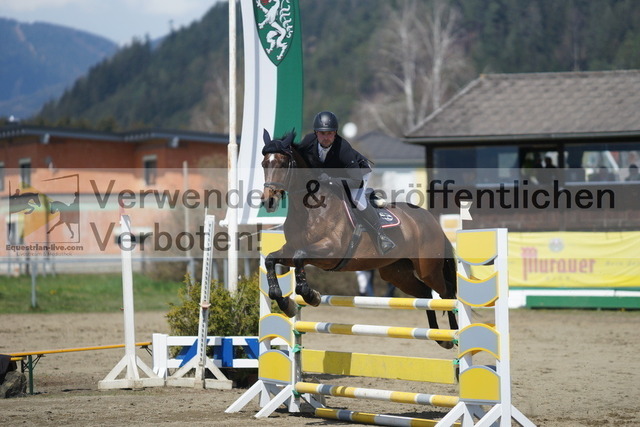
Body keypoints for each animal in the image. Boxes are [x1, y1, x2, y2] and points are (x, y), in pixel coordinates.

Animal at [258, 130, 458, 348]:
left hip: (428, 268)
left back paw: (454, 334)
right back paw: (439, 336)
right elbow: (271, 260)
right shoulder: (291, 248)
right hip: (396, 273)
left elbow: (300, 257)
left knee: (446, 293)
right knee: (424, 293)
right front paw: (287, 305)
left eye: (282, 163)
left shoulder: (329, 250)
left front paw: (312, 296)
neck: (310, 210)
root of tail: (431, 220)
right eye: (264, 163)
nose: (269, 201)